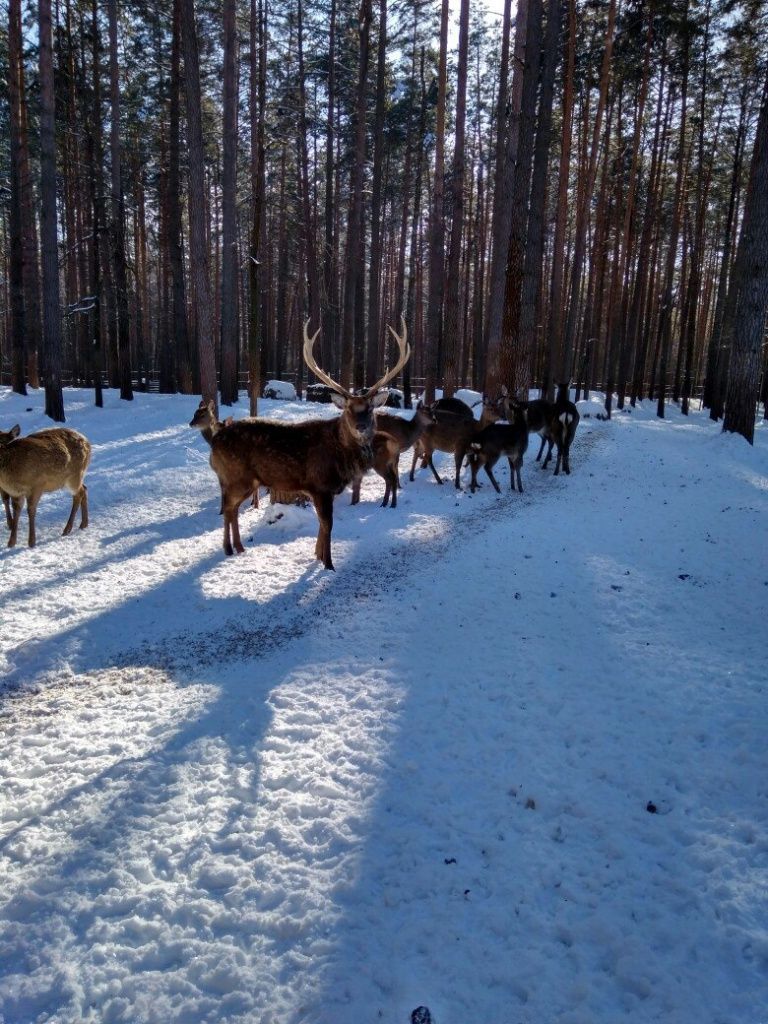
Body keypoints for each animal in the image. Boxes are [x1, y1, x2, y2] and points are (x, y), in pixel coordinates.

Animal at [202, 317, 409, 569]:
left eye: (370, 408)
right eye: (349, 409)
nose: (361, 426)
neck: (341, 455)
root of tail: (214, 442)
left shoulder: (322, 490)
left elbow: (321, 524)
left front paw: (317, 555)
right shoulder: (320, 485)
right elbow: (327, 524)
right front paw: (328, 564)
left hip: (247, 480)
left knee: (231, 509)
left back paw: (239, 548)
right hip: (235, 476)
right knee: (228, 508)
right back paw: (229, 548)